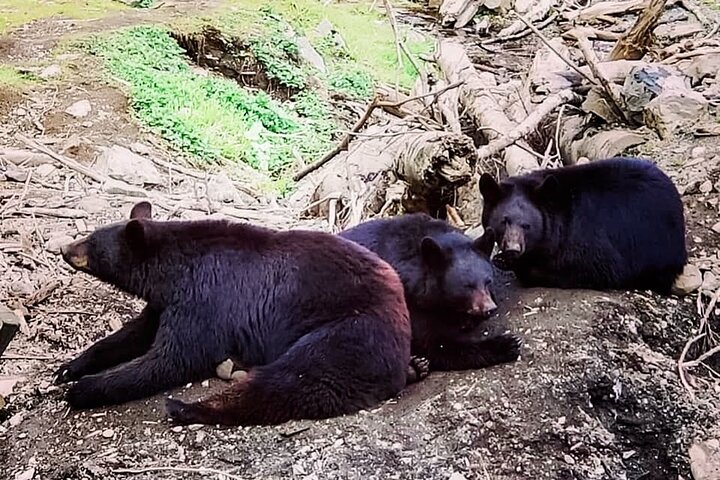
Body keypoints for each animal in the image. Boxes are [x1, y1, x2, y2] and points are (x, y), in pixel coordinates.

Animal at [57, 201, 411, 426]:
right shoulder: (168, 302)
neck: (173, 271)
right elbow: (134, 333)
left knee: (299, 379)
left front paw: (85, 388)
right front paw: (70, 367)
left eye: (91, 242)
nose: (63, 248)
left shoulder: (206, 298)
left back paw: (186, 408)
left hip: (350, 330)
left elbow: (173, 358)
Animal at [339, 213, 522, 377]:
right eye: (467, 286)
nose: (490, 309)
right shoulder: (405, 299)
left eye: (488, 281)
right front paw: (507, 344)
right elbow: (435, 344)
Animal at [479, 156, 687, 294]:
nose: (513, 248)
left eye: (526, 226)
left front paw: (515, 264)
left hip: (658, 241)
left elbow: (597, 268)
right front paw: (504, 258)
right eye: (504, 221)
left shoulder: (585, 235)